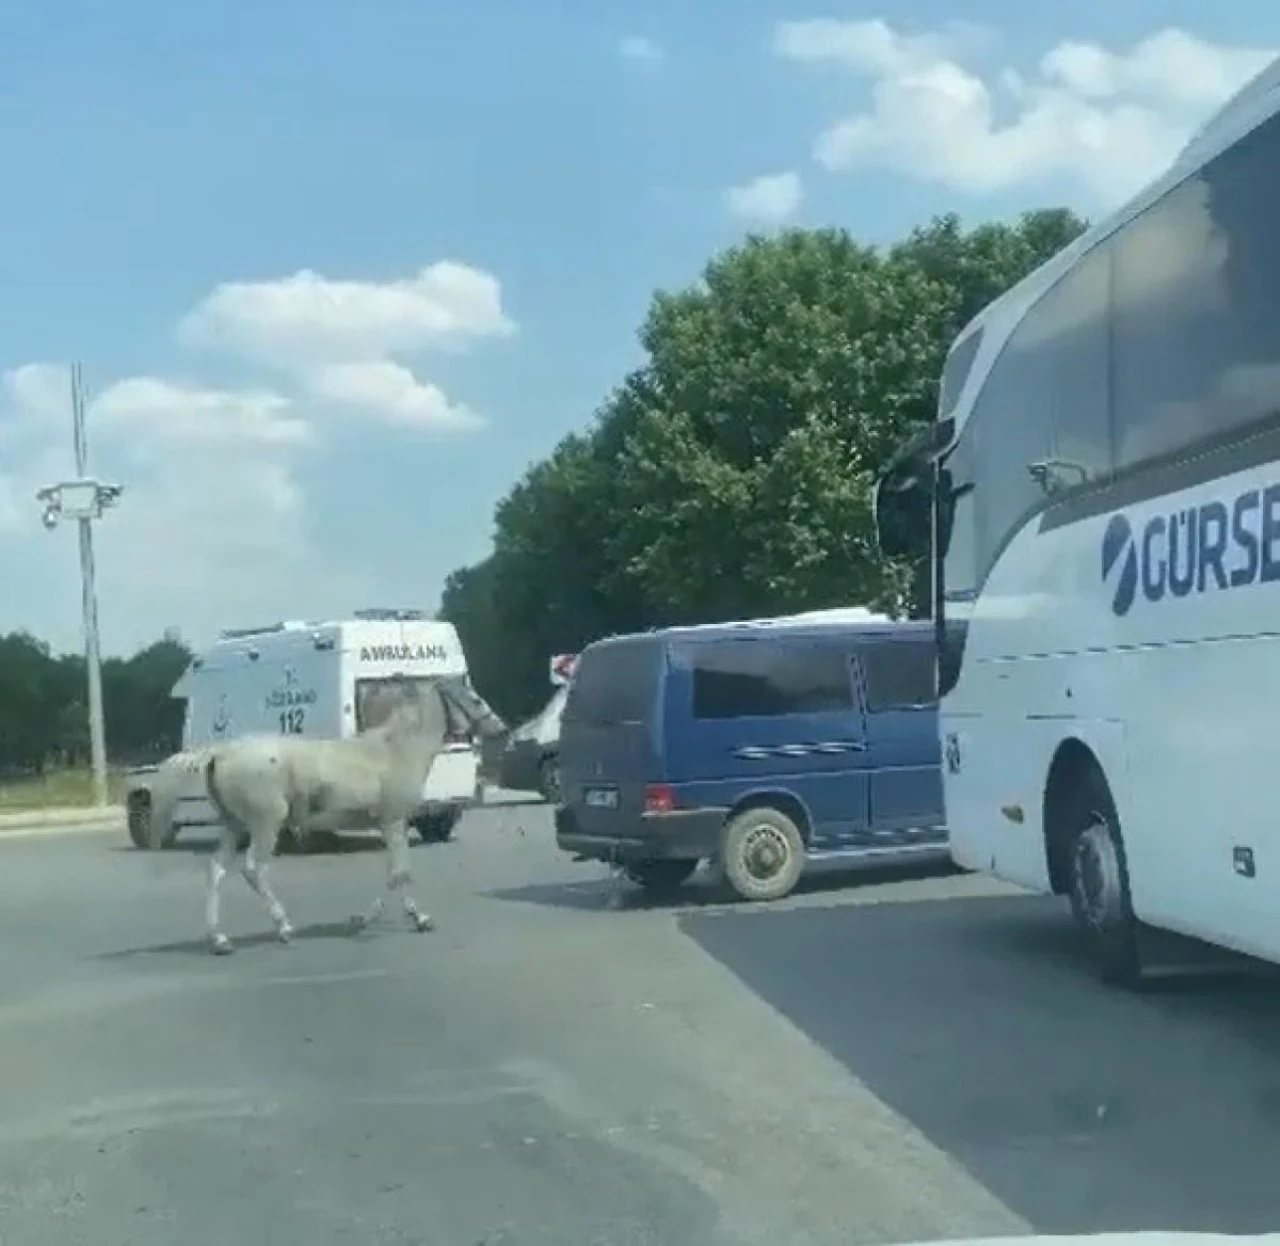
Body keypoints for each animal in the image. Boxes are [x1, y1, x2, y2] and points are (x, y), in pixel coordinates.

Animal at [148, 671, 504, 952]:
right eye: (474, 698)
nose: (501, 730)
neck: (397, 750)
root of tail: (220, 753)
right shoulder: (393, 821)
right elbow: (398, 873)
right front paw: (384, 920)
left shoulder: (390, 824)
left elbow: (399, 872)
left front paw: (405, 917)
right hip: (265, 823)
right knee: (252, 869)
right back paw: (284, 927)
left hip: (233, 825)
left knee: (216, 871)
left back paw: (219, 940)